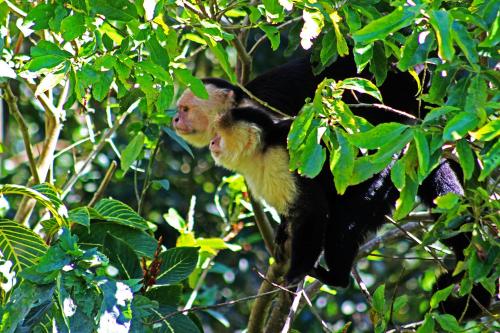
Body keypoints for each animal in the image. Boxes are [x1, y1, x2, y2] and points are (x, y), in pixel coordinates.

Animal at [208, 105, 492, 318]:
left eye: (219, 135)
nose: (211, 142)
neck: (261, 153)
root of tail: (410, 139)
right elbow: (293, 212)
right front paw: (281, 234)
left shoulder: (283, 160)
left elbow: (313, 211)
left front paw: (296, 272)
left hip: (381, 169)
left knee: (342, 225)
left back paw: (336, 277)